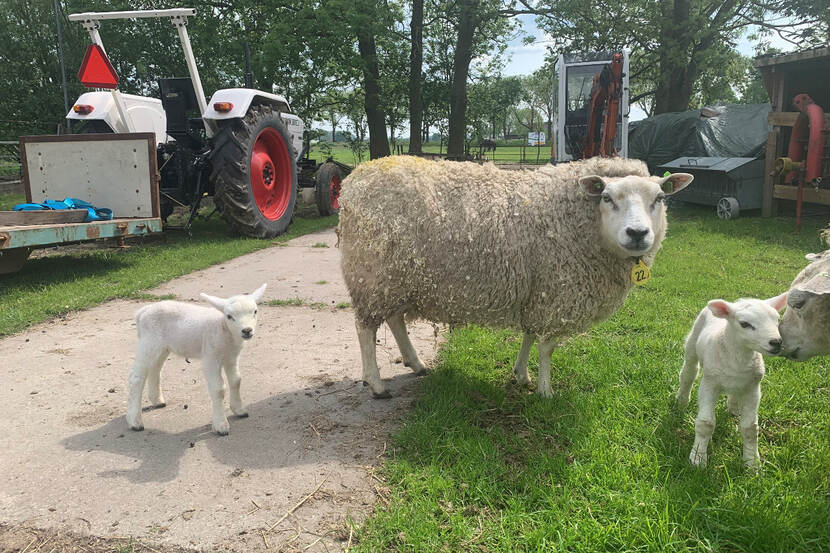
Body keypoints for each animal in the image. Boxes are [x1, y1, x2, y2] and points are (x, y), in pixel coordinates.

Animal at [126, 284, 266, 436]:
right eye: (229, 316)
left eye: (255, 311)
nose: (247, 330)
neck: (223, 328)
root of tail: (142, 312)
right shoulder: (211, 357)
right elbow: (218, 389)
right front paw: (221, 425)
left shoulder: (231, 357)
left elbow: (236, 381)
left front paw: (239, 410)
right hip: (148, 342)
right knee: (136, 378)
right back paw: (135, 422)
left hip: (162, 347)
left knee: (155, 369)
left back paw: (157, 400)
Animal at [338, 155, 696, 396]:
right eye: (607, 197)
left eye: (659, 199)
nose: (638, 234)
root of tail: (354, 179)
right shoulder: (557, 293)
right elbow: (547, 347)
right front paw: (545, 391)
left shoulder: (537, 292)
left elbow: (529, 335)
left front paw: (521, 374)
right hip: (372, 276)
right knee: (365, 330)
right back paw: (376, 384)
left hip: (397, 278)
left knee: (395, 320)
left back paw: (416, 364)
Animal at [676, 292, 788, 468]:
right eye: (744, 324)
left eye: (777, 319)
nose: (776, 342)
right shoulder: (709, 383)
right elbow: (706, 424)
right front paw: (698, 459)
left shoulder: (753, 387)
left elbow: (750, 428)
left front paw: (752, 463)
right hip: (693, 341)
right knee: (688, 373)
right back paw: (682, 400)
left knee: (734, 392)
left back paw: (734, 408)